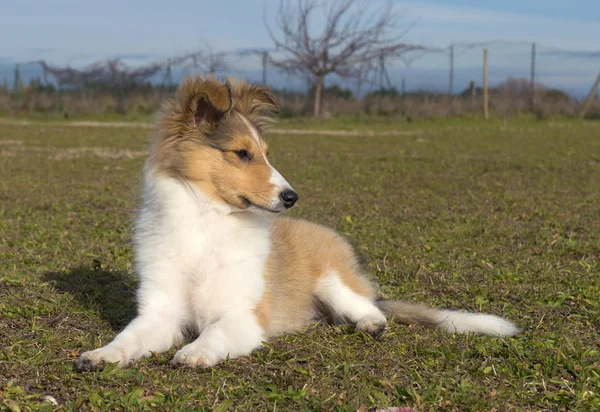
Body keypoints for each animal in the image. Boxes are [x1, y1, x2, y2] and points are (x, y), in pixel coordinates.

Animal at [76, 75, 520, 372]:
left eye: (265, 152)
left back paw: (371, 324)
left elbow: (213, 334)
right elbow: (129, 336)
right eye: (242, 153)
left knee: (370, 308)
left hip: (333, 281)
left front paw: (194, 352)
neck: (207, 223)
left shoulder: (243, 315)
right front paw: (101, 355)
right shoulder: (160, 312)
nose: (291, 197)